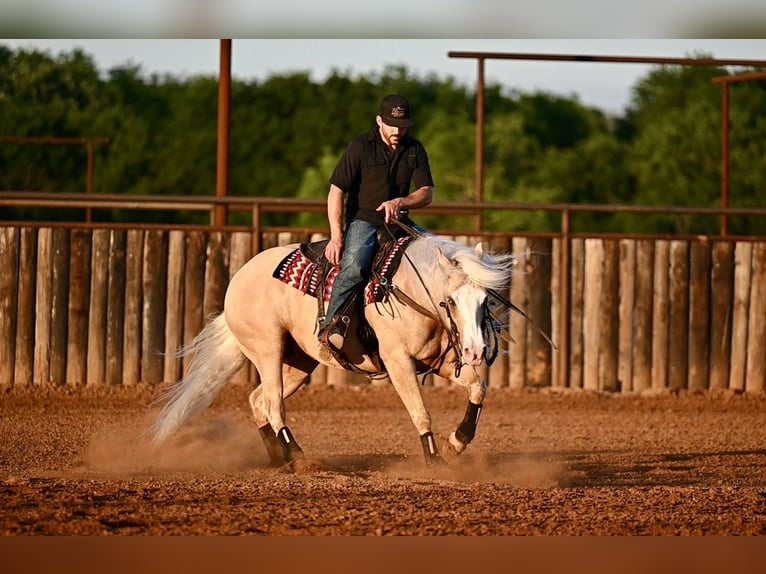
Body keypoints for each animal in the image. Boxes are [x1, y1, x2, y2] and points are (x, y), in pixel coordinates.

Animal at [147, 230, 517, 469]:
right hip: (267, 350)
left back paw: (279, 459)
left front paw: (457, 442)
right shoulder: (398, 361)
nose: (476, 351)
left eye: (485, 299)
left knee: (258, 402)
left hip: (298, 362)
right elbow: (420, 411)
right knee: (273, 403)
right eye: (451, 300)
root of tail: (236, 282)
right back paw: (297, 457)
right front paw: (435, 459)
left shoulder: (439, 362)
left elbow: (478, 388)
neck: (406, 289)